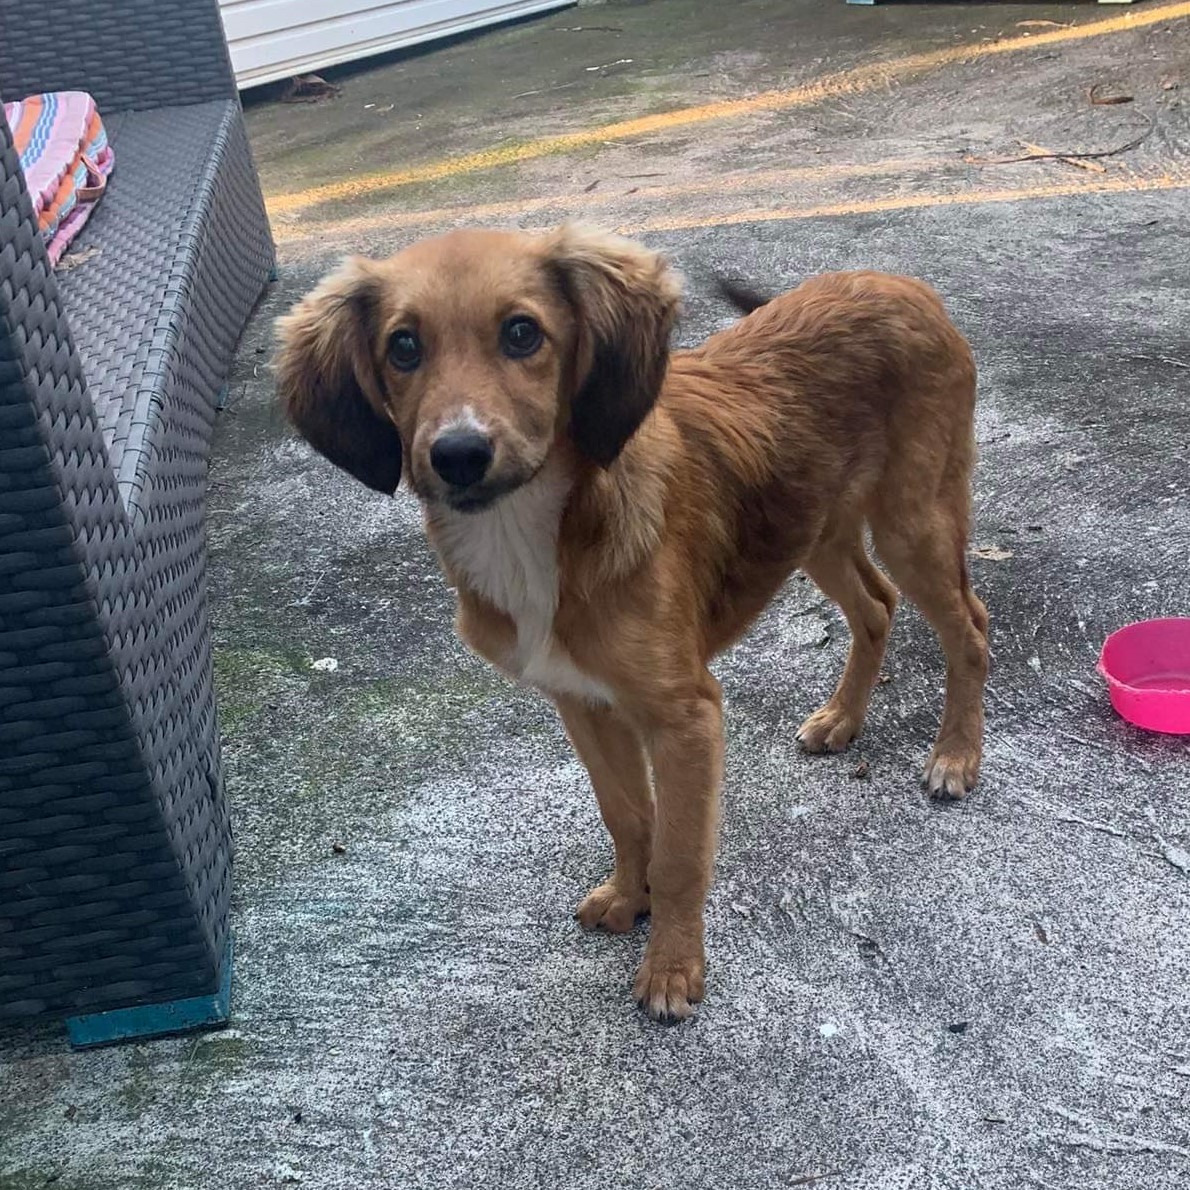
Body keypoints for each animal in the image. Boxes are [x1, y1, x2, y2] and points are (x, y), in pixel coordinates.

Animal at [273, 224, 990, 1023]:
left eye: (521, 333)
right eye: (402, 347)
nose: (458, 455)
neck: (538, 533)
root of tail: (901, 283)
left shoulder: (685, 716)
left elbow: (679, 852)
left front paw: (672, 969)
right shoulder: (583, 702)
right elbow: (626, 814)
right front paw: (629, 897)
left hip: (912, 523)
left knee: (971, 627)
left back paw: (956, 756)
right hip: (816, 531)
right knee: (876, 607)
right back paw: (842, 719)